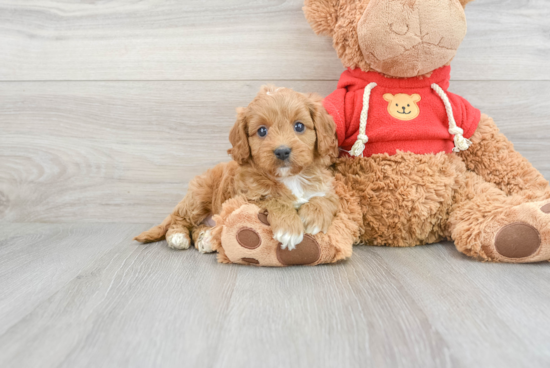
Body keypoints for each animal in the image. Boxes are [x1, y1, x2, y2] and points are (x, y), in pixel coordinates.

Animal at [134, 86, 340, 253]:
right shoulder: (247, 198)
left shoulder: (327, 187)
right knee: (181, 218)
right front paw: (288, 228)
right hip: (200, 195)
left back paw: (205, 239)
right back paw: (178, 236)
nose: (282, 151)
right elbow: (273, 200)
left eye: (299, 126)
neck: (290, 178)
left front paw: (315, 216)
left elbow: (327, 199)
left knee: (197, 227)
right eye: (262, 131)